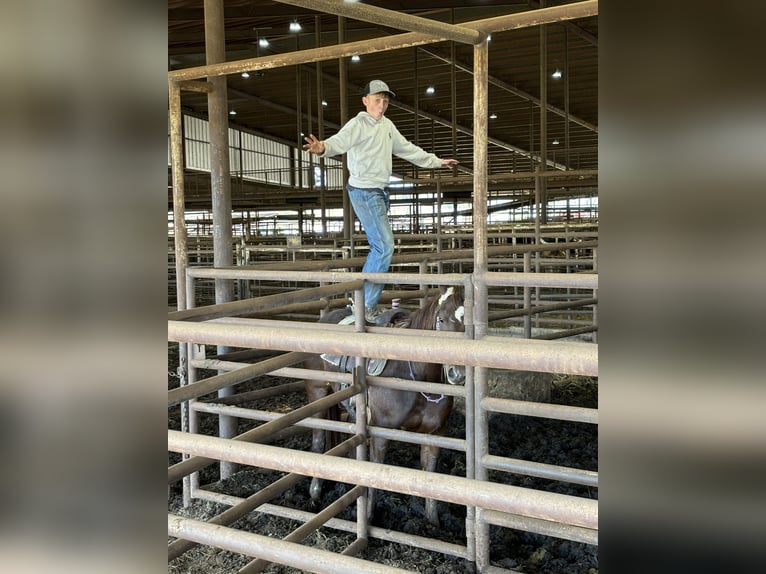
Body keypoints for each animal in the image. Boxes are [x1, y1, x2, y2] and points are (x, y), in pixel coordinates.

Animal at [306, 286, 468, 528]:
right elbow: (376, 469)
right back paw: (315, 493)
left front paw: (433, 523)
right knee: (318, 441)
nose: (457, 374)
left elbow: (430, 472)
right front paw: (369, 517)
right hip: (317, 392)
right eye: (441, 319)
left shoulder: (436, 434)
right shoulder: (382, 431)